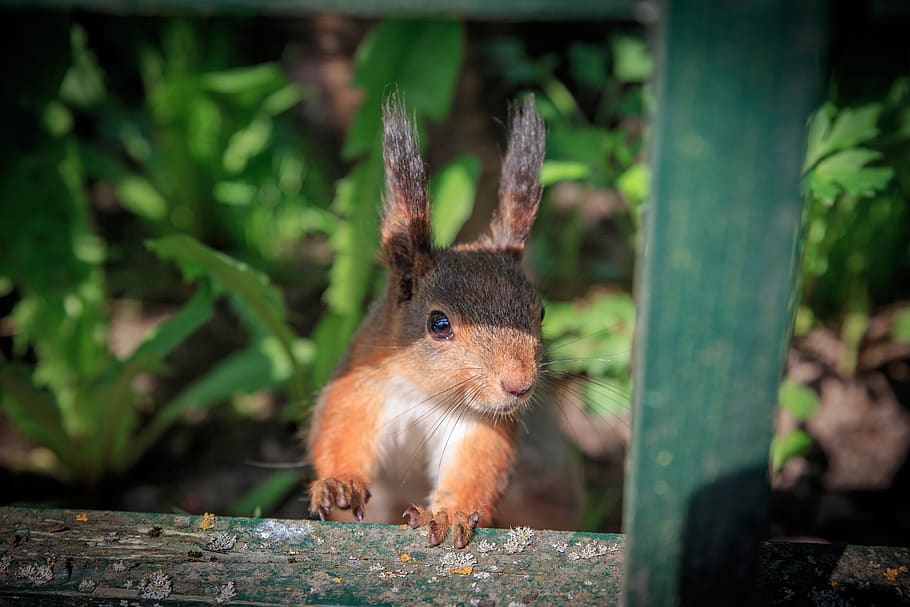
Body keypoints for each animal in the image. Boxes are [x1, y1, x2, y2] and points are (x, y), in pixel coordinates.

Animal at [306, 94, 582, 548]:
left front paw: (450, 513)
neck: (428, 394)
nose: (519, 385)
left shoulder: (484, 424)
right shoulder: (361, 383)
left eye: (540, 312)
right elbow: (340, 428)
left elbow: (475, 468)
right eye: (438, 324)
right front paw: (339, 482)